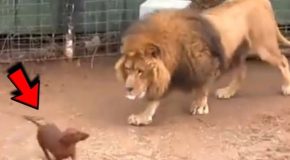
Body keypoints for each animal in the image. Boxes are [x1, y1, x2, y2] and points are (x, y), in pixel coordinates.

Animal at [114, 0, 290, 125]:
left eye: (140, 71)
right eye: (128, 69)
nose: (128, 89)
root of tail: (263, 1)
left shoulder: (205, 65)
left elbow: (202, 87)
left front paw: (199, 105)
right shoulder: (169, 75)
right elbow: (154, 101)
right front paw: (142, 117)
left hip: (263, 47)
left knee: (283, 61)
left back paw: (287, 87)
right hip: (236, 52)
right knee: (242, 71)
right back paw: (228, 91)